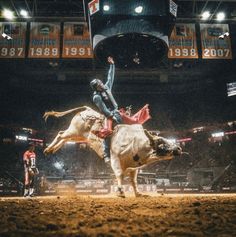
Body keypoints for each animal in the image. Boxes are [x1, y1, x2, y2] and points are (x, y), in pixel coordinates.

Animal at [43, 106, 181, 197]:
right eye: (161, 143)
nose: (178, 148)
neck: (135, 143)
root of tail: (87, 110)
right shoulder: (115, 160)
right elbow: (119, 174)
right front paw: (120, 191)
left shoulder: (133, 168)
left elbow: (133, 181)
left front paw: (138, 193)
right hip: (75, 130)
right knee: (61, 135)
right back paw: (47, 149)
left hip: (79, 136)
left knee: (64, 138)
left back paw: (51, 150)